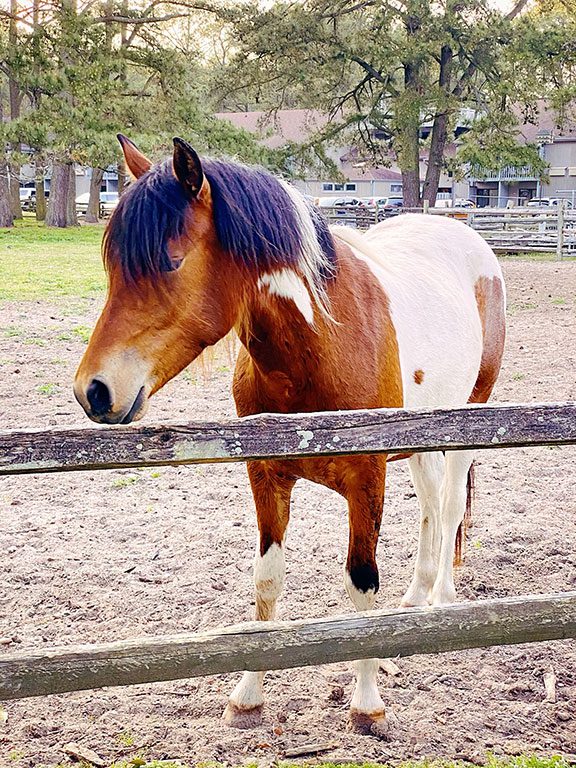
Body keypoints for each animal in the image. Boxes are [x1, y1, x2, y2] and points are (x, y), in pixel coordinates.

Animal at [73, 135, 506, 733]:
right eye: (111, 264)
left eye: (172, 261)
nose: (92, 390)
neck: (321, 342)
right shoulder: (267, 475)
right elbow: (267, 581)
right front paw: (248, 694)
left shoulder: (367, 479)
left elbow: (360, 583)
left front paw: (366, 703)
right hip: (421, 436)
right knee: (430, 504)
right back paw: (414, 603)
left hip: (470, 417)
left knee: (449, 507)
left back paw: (441, 598)